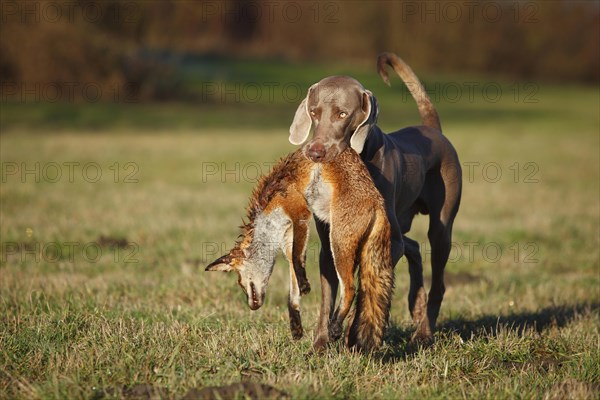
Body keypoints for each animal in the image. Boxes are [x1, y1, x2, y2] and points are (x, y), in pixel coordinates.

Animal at [206, 146, 394, 350]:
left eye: (240, 282)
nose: (251, 307)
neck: (268, 206)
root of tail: (379, 203)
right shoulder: (287, 236)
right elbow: (293, 280)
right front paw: (296, 325)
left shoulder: (300, 213)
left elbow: (297, 261)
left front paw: (305, 284)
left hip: (337, 243)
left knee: (350, 289)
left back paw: (335, 326)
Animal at [288, 52, 462, 350]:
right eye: (313, 113)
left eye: (342, 114)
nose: (315, 152)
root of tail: (433, 130)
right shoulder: (328, 245)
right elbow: (327, 297)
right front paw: (321, 343)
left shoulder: (385, 242)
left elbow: (366, 284)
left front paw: (353, 334)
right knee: (413, 246)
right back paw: (416, 304)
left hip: (441, 226)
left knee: (436, 276)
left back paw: (424, 333)